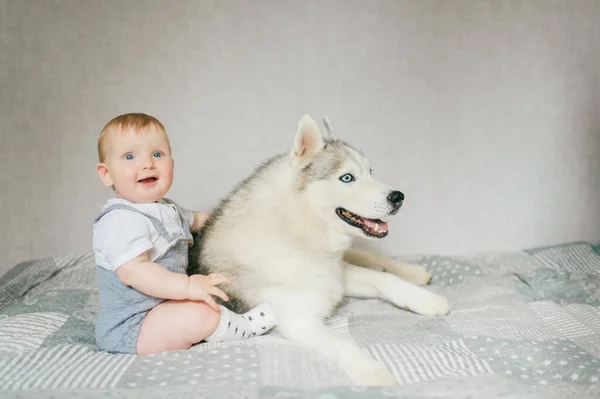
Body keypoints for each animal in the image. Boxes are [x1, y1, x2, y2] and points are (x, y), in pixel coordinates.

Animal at [188, 116, 450, 388]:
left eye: (370, 172)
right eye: (347, 178)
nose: (398, 197)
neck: (298, 234)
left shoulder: (337, 275)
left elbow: (384, 280)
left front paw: (427, 300)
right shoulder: (300, 321)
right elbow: (345, 345)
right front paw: (373, 372)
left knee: (372, 259)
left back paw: (414, 272)